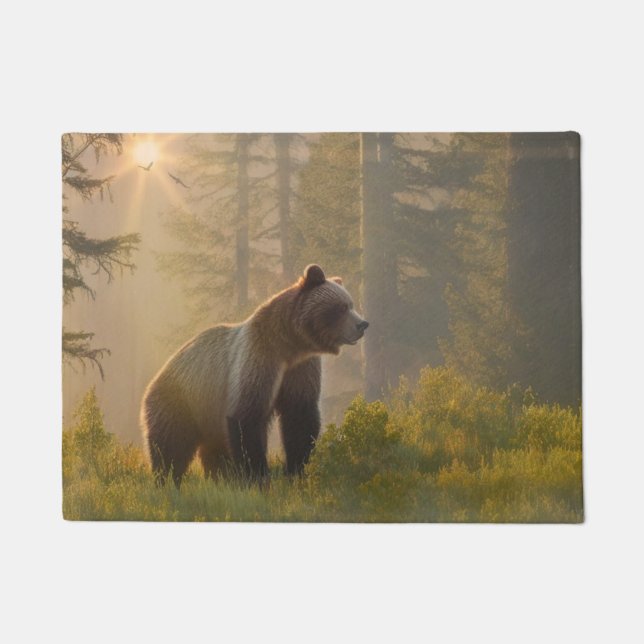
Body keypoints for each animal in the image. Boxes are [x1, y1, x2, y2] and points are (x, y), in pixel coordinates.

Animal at [140, 264, 368, 487]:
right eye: (342, 307)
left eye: (351, 303)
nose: (362, 324)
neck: (289, 345)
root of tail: (157, 375)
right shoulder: (259, 359)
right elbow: (247, 417)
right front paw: (257, 476)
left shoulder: (300, 369)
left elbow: (300, 418)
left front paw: (296, 471)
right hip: (181, 402)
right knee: (171, 445)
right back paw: (167, 480)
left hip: (207, 414)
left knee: (212, 450)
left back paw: (220, 478)